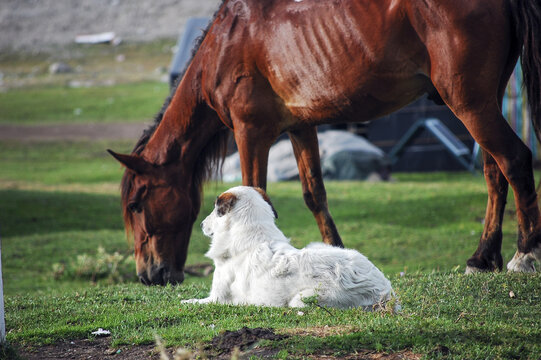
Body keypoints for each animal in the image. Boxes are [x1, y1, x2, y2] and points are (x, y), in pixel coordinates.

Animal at [106, 0, 540, 286]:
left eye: (136, 204)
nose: (148, 275)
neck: (227, 42)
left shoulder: (251, 131)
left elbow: (255, 192)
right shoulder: (301, 128)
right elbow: (315, 196)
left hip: (469, 103)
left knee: (515, 160)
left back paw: (524, 254)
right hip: (485, 100)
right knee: (494, 172)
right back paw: (483, 258)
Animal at [181, 186, 392, 310]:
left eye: (216, 210)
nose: (201, 224)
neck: (254, 234)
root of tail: (384, 292)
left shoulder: (217, 298)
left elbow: (193, 301)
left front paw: (185, 301)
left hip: (301, 300)